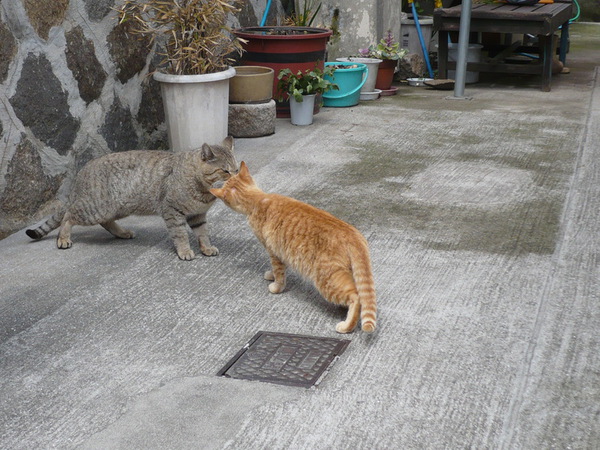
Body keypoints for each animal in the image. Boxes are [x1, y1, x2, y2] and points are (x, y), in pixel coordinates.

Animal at [25, 135, 238, 258]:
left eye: (236, 169)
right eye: (225, 171)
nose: (235, 177)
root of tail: (82, 170)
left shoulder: (197, 215)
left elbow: (203, 234)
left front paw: (206, 247)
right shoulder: (172, 210)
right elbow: (180, 234)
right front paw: (185, 251)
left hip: (117, 209)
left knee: (105, 222)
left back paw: (122, 233)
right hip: (95, 208)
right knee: (69, 215)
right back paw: (63, 238)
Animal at [209, 163, 372, 332]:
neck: (258, 200)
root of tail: (354, 234)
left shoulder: (274, 253)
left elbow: (279, 274)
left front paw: (275, 286)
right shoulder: (280, 252)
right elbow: (277, 270)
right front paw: (271, 275)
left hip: (327, 279)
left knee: (356, 297)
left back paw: (346, 325)